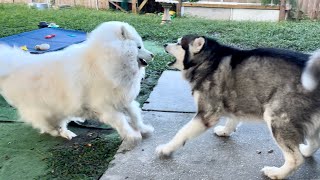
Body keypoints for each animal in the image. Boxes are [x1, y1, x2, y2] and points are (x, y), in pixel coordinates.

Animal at [0, 21, 154, 149]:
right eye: (139, 47)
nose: (153, 55)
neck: (104, 63)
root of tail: (17, 66)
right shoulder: (105, 106)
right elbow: (121, 121)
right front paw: (132, 136)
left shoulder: (123, 99)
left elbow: (135, 115)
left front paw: (143, 129)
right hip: (47, 111)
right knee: (49, 126)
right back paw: (61, 132)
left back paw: (67, 133)